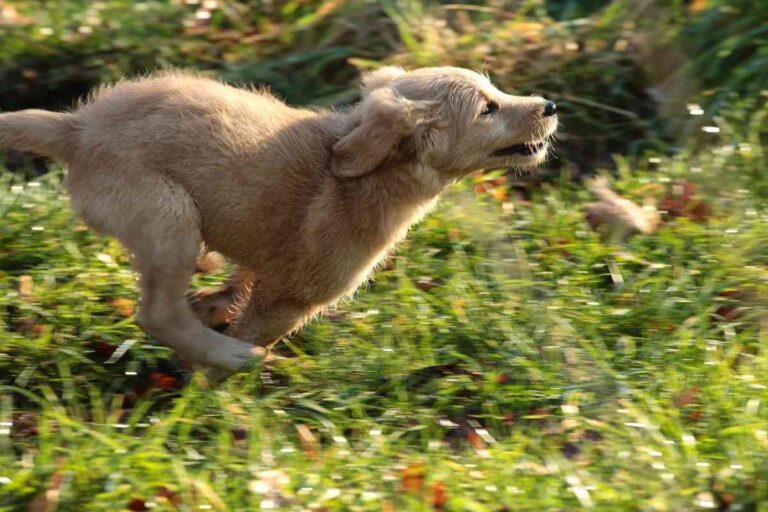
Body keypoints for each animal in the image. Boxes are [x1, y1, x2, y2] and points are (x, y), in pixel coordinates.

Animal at [0, 67, 560, 372]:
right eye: (487, 108)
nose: (551, 105)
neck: (366, 174)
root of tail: (76, 128)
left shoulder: (264, 266)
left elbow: (235, 285)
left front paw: (213, 306)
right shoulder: (290, 299)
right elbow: (252, 329)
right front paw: (210, 383)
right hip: (170, 217)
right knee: (157, 313)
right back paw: (231, 357)